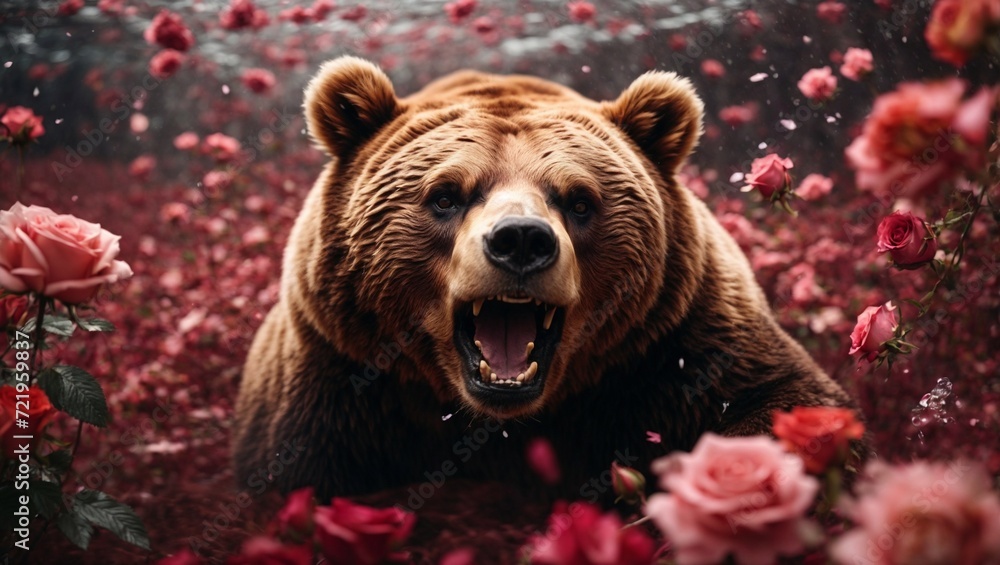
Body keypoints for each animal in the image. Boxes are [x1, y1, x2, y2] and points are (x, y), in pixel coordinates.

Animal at [232, 56, 856, 504]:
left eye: (579, 200)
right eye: (445, 195)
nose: (521, 242)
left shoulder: (678, 343)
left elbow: (785, 404)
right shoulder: (339, 380)